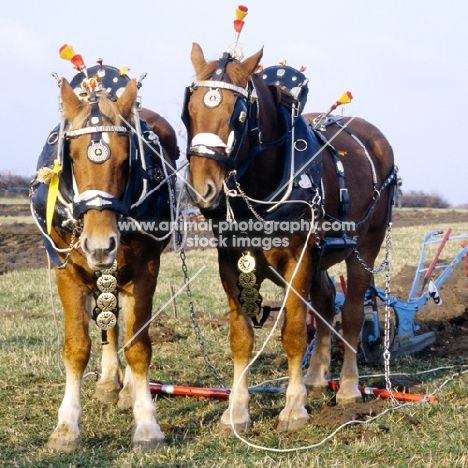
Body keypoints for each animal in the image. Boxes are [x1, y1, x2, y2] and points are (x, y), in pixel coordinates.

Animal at [30, 66, 177, 450]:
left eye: (126, 161)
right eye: (73, 157)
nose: (100, 244)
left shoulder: (145, 272)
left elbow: (138, 345)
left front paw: (147, 424)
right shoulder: (68, 273)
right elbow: (78, 347)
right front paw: (66, 427)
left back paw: (125, 390)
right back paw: (111, 382)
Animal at [182, 44, 394, 436]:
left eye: (238, 115)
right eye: (189, 111)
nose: (203, 189)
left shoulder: (299, 259)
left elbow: (294, 333)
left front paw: (294, 408)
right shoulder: (230, 263)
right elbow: (241, 338)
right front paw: (236, 412)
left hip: (365, 247)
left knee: (352, 313)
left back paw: (348, 388)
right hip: (321, 256)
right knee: (325, 303)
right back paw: (316, 377)